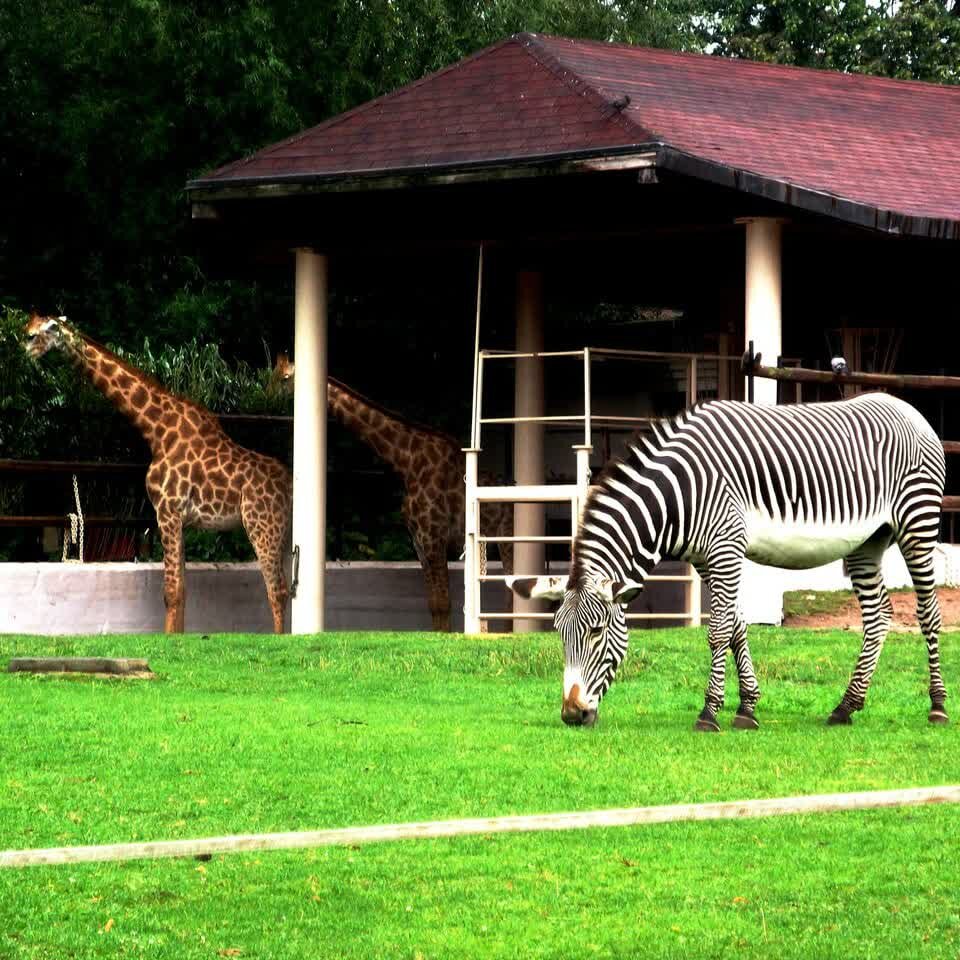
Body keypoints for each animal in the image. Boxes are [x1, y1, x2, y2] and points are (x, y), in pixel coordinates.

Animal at [24, 312, 290, 632]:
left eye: (40, 332)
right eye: (28, 328)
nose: (24, 348)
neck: (157, 430)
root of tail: (291, 486)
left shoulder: (167, 511)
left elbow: (171, 592)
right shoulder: (181, 520)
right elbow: (183, 591)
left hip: (262, 526)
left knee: (276, 591)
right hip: (284, 533)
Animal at [272, 352, 510, 632]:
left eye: (285, 378)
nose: (267, 399)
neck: (406, 463)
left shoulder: (434, 537)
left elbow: (444, 603)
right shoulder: (419, 542)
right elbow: (434, 605)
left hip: (508, 537)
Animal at [506, 394, 948, 732]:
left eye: (596, 633)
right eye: (560, 634)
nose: (571, 715)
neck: (677, 495)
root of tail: (907, 407)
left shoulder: (726, 548)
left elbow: (718, 632)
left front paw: (709, 714)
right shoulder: (706, 558)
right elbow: (735, 627)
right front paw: (747, 708)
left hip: (917, 522)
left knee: (928, 612)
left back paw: (938, 706)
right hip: (867, 541)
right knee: (878, 616)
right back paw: (845, 707)